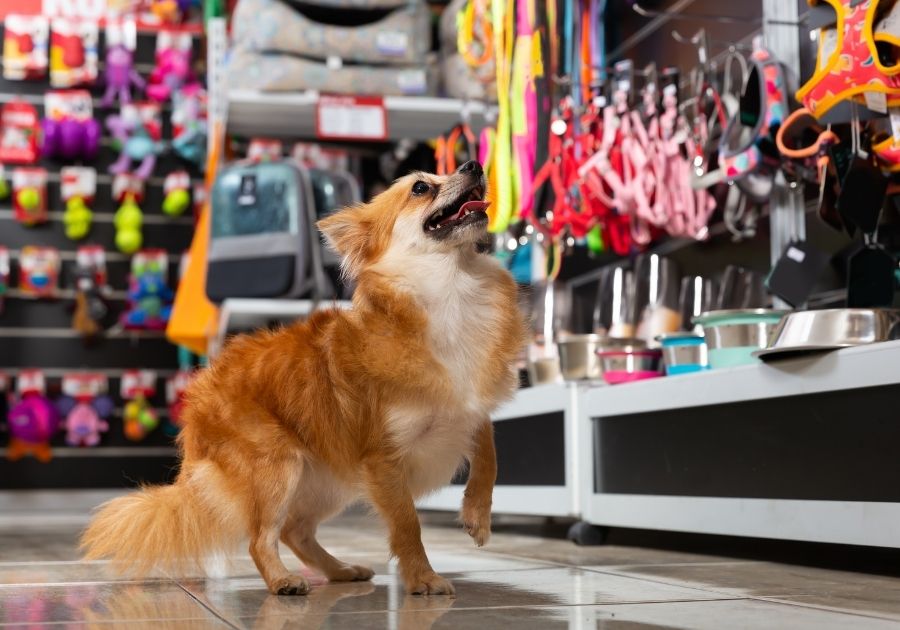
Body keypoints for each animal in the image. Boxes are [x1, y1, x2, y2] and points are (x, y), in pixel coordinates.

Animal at [82, 162, 528, 596]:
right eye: (421, 188)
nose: (474, 164)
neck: (452, 288)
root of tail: (198, 400)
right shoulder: (382, 458)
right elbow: (407, 524)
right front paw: (423, 578)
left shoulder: (468, 408)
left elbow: (489, 453)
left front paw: (477, 515)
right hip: (277, 466)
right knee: (262, 538)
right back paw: (283, 581)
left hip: (330, 481)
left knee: (295, 531)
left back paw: (340, 570)